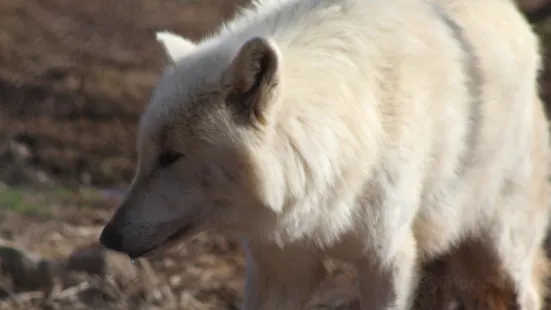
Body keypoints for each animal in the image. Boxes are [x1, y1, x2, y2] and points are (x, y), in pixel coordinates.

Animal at [99, 0, 551, 308]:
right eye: (144, 155)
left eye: (171, 157)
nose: (108, 237)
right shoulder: (281, 263)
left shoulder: (387, 260)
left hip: (500, 259)